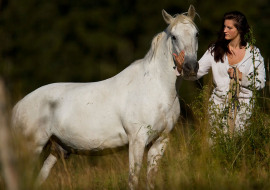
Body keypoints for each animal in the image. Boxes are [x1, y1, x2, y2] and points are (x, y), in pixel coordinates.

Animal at [12, 5, 198, 189]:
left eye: (196, 34)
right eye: (174, 37)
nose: (190, 67)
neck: (156, 88)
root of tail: (19, 106)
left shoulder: (160, 142)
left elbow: (150, 179)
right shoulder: (137, 140)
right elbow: (133, 178)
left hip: (55, 151)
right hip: (32, 149)